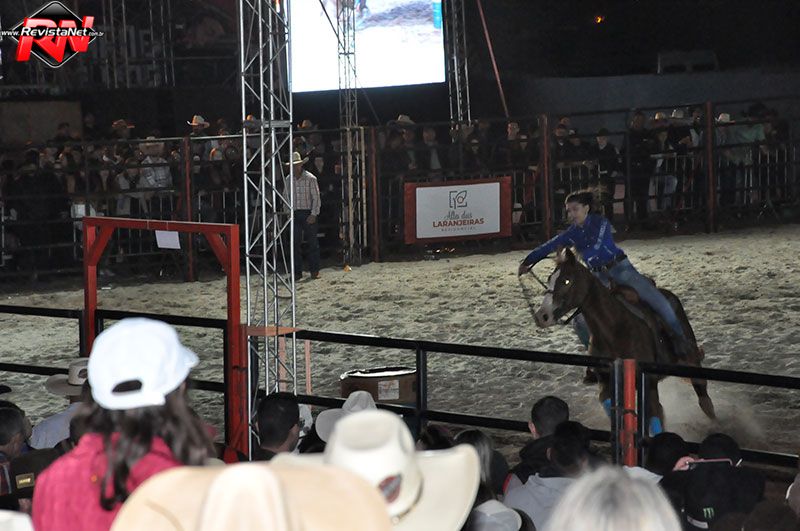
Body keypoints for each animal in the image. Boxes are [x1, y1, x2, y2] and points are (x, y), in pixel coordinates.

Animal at [530, 247, 715, 434]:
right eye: (549, 279)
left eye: (566, 281)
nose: (542, 316)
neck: (614, 330)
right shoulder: (606, 382)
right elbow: (611, 406)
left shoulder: (649, 383)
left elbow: (654, 415)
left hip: (691, 359)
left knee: (702, 394)